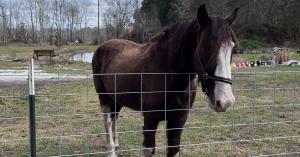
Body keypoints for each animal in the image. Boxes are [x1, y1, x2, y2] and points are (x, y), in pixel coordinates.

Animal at [93, 4, 239, 156]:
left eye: (233, 49)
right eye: (208, 47)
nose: (226, 101)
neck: (169, 75)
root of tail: (102, 46)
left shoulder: (178, 120)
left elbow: (173, 149)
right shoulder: (150, 119)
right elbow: (149, 149)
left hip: (116, 98)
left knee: (114, 117)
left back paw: (116, 144)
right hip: (104, 98)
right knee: (108, 120)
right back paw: (111, 149)